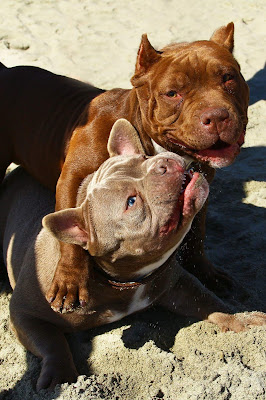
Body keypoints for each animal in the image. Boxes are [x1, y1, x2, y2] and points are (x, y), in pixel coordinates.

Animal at [0, 22, 249, 312]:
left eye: (228, 78)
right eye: (172, 93)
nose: (217, 116)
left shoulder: (201, 187)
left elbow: (197, 235)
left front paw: (206, 272)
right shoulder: (72, 180)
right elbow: (72, 239)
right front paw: (70, 281)